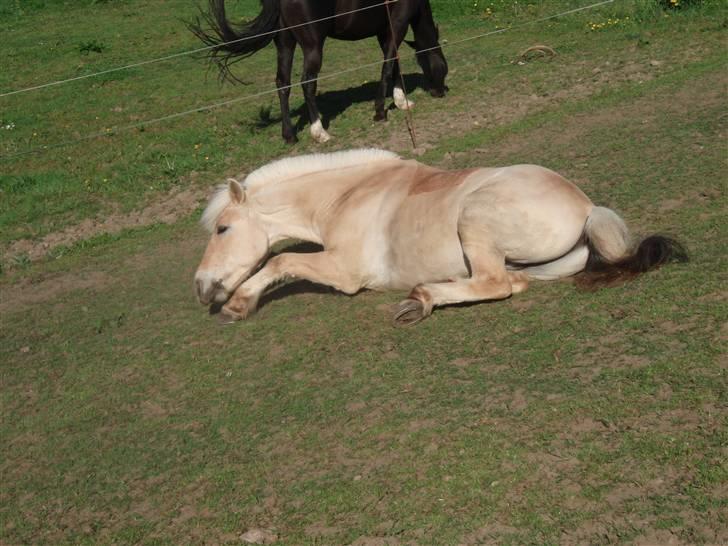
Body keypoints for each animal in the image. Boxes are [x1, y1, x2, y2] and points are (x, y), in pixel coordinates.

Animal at [188, 0, 446, 142]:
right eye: (443, 66)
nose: (440, 92)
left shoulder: (384, 31)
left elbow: (393, 63)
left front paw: (401, 100)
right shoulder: (397, 24)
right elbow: (388, 65)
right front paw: (381, 111)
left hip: (285, 43)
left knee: (283, 83)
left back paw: (289, 135)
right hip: (312, 46)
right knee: (307, 83)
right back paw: (319, 131)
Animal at [192, 147, 684, 324]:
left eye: (223, 228)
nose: (200, 287)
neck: (347, 196)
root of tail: (585, 208)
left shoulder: (344, 271)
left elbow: (279, 260)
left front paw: (238, 304)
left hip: (474, 220)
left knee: (496, 285)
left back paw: (421, 298)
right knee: (511, 282)